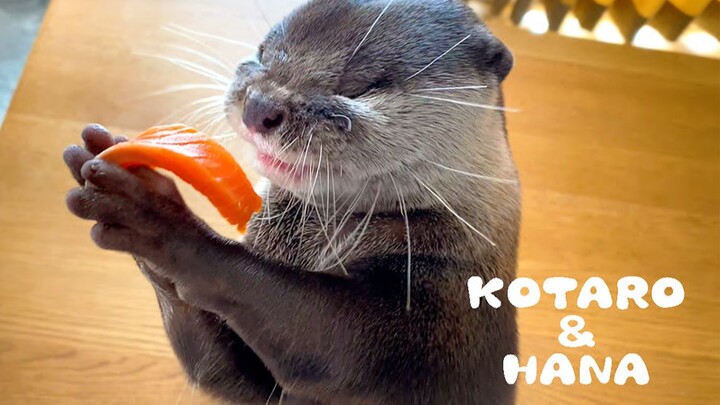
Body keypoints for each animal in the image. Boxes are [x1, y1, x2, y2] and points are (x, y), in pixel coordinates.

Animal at [63, 0, 521, 403]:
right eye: (261, 53)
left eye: (358, 86)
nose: (259, 105)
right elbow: (217, 370)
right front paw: (134, 176)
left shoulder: (433, 327)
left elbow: (332, 347)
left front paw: (154, 218)